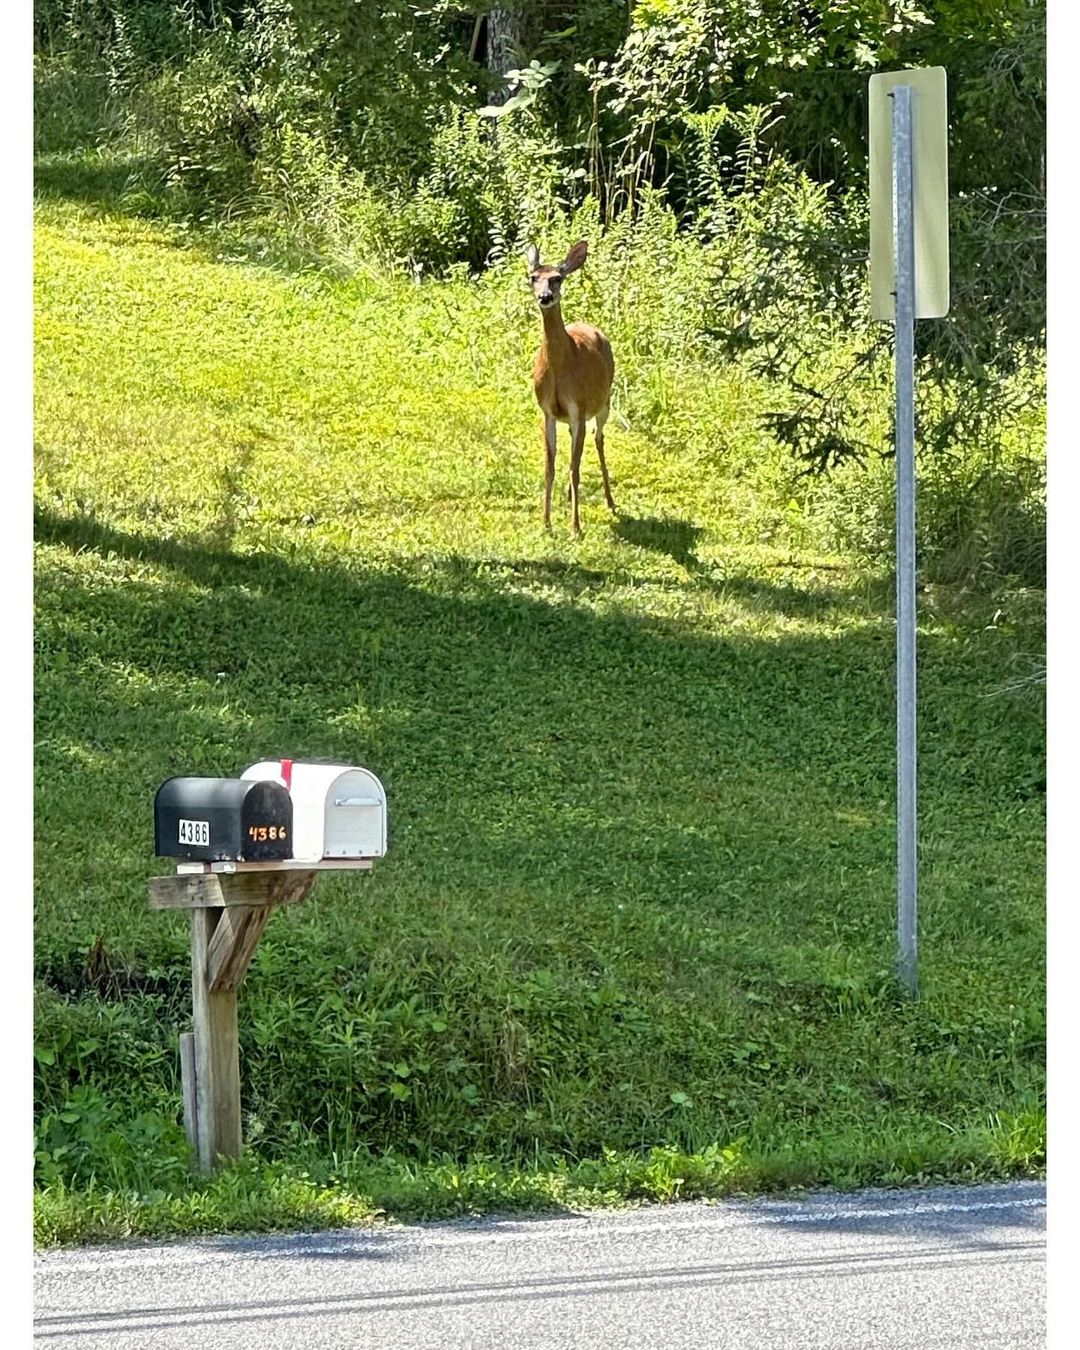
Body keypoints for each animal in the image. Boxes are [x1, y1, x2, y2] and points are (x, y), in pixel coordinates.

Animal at [525, 240, 616, 534]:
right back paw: (567, 497)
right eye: (533, 277)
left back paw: (610, 501)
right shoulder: (548, 412)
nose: (544, 297)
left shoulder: (579, 408)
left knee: (598, 438)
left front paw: (576, 527)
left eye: (557, 278)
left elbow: (574, 469)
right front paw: (546, 522)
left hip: (604, 401)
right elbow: (550, 467)